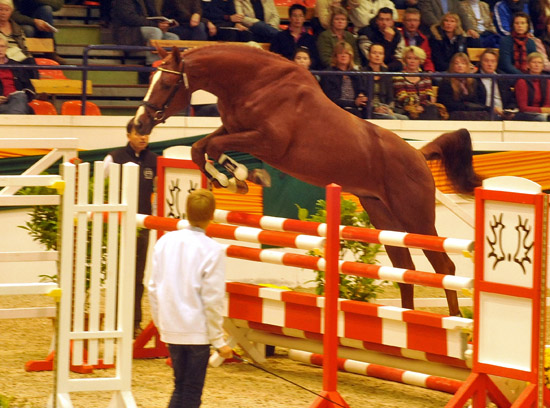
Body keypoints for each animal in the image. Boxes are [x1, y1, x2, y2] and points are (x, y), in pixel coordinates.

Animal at [132, 44, 480, 316]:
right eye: (150, 79)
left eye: (166, 82)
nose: (138, 123)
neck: (256, 84)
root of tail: (419, 156)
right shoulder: (233, 129)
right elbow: (199, 149)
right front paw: (230, 179)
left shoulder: (266, 142)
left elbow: (214, 149)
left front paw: (243, 177)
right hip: (384, 216)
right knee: (404, 268)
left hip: (415, 218)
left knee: (444, 268)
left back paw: (453, 326)